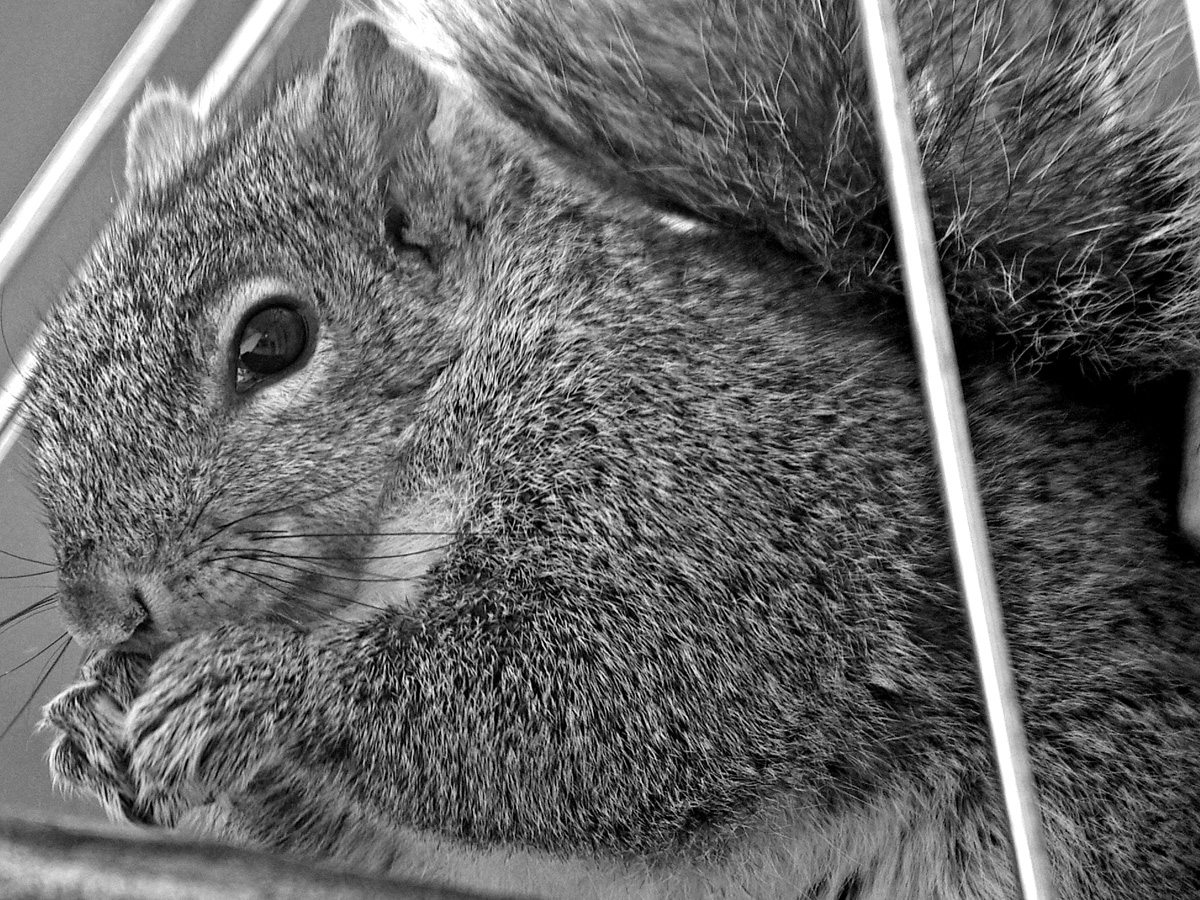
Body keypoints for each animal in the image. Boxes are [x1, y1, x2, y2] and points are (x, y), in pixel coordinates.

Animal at [25, 0, 1200, 897]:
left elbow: (608, 692)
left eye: (273, 342)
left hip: (1092, 804)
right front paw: (92, 714)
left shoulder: (709, 491)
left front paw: (262, 684)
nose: (107, 608)